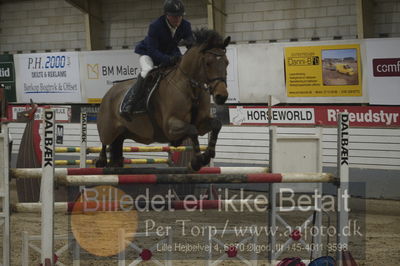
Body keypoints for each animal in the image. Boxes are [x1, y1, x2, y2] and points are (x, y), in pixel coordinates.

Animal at [95, 28, 230, 170]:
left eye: (227, 63)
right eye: (208, 63)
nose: (222, 96)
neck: (191, 89)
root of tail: (108, 93)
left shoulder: (201, 123)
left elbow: (216, 124)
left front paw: (209, 153)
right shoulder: (170, 126)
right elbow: (192, 130)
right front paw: (197, 161)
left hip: (125, 133)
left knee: (116, 149)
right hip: (108, 130)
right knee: (104, 143)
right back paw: (100, 161)